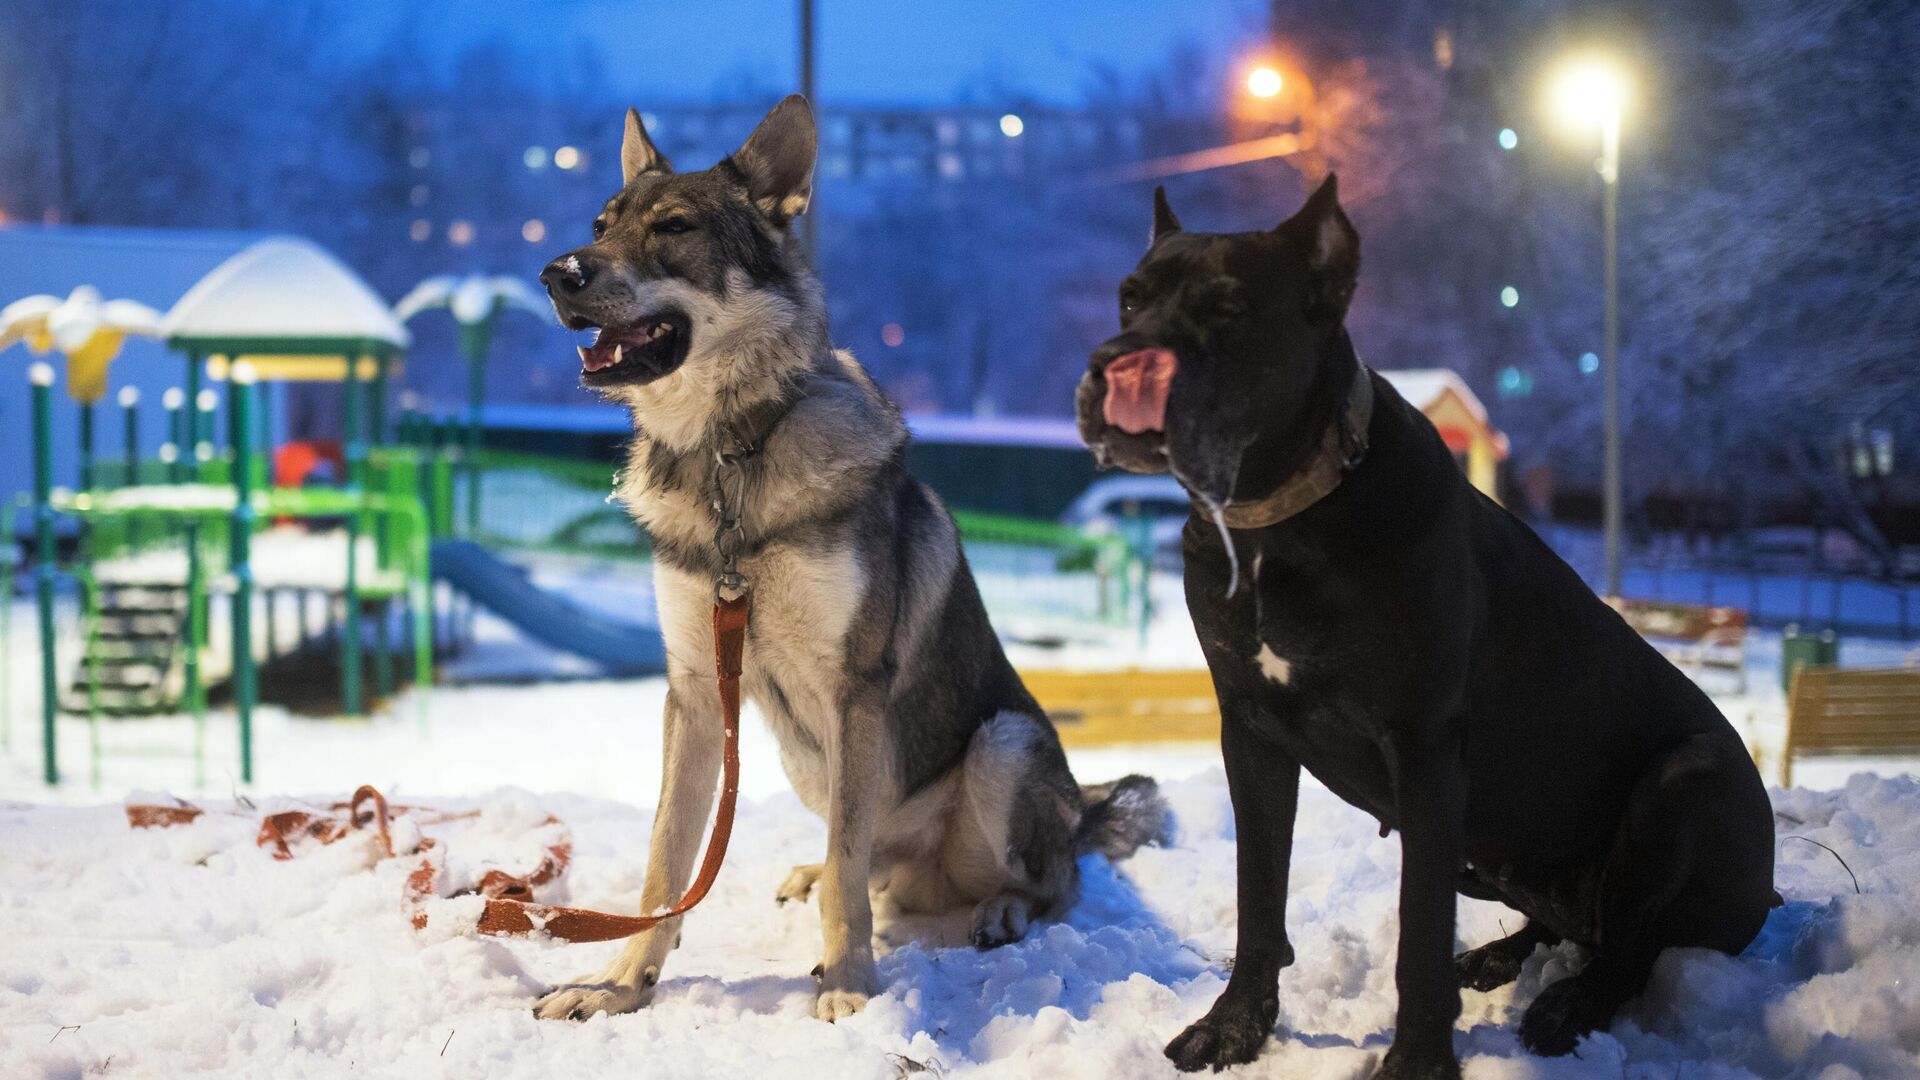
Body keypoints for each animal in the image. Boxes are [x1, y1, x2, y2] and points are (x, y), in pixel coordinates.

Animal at [1075, 180, 1774, 1068]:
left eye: (1227, 308)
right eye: (1130, 297)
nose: (1115, 361)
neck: (1278, 518)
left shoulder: (1424, 747)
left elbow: (1417, 930)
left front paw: (1415, 1064)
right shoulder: (1253, 734)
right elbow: (1259, 898)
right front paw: (1233, 1027)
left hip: (1687, 778)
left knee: (1630, 950)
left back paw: (1566, 1007)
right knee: (1566, 928)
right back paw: (1497, 959)